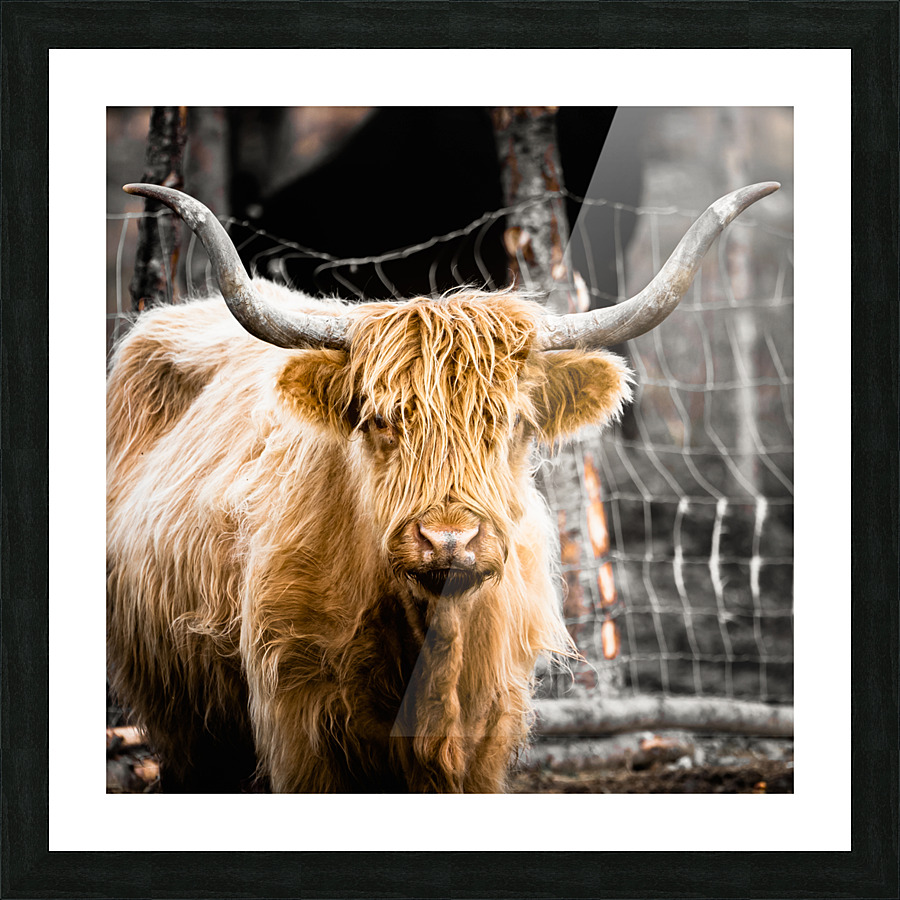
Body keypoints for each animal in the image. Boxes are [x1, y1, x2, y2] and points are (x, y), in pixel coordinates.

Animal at [107, 180, 778, 792]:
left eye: (509, 422)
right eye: (381, 420)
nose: (448, 540)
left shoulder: (488, 730)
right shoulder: (299, 725)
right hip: (183, 720)